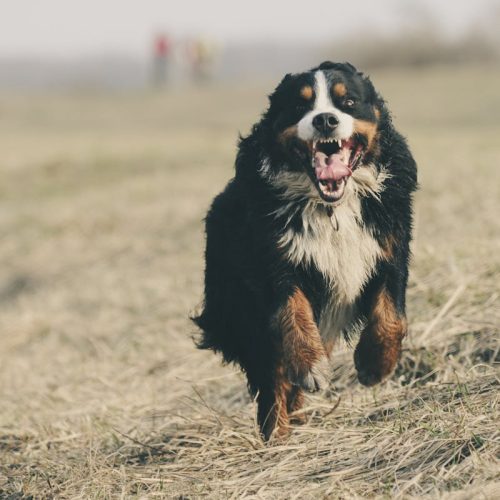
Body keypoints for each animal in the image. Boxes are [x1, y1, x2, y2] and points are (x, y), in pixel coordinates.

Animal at [191, 60, 418, 440]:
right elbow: (292, 314)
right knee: (272, 378)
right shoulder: (275, 263)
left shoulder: (389, 248)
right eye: (300, 105)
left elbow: (393, 316)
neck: (331, 208)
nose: (325, 119)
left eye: (348, 102)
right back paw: (278, 434)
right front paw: (311, 367)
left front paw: (374, 364)